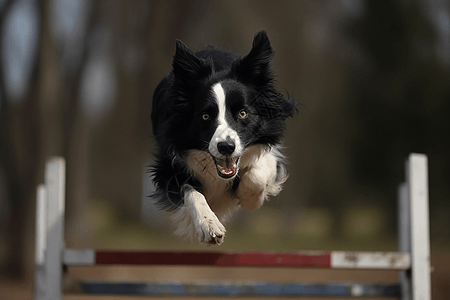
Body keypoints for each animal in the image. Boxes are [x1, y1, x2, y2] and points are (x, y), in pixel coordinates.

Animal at [151, 30, 298, 245]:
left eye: (243, 113)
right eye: (205, 116)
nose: (226, 147)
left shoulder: (268, 148)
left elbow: (257, 174)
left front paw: (249, 198)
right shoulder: (168, 164)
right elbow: (191, 191)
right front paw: (209, 225)